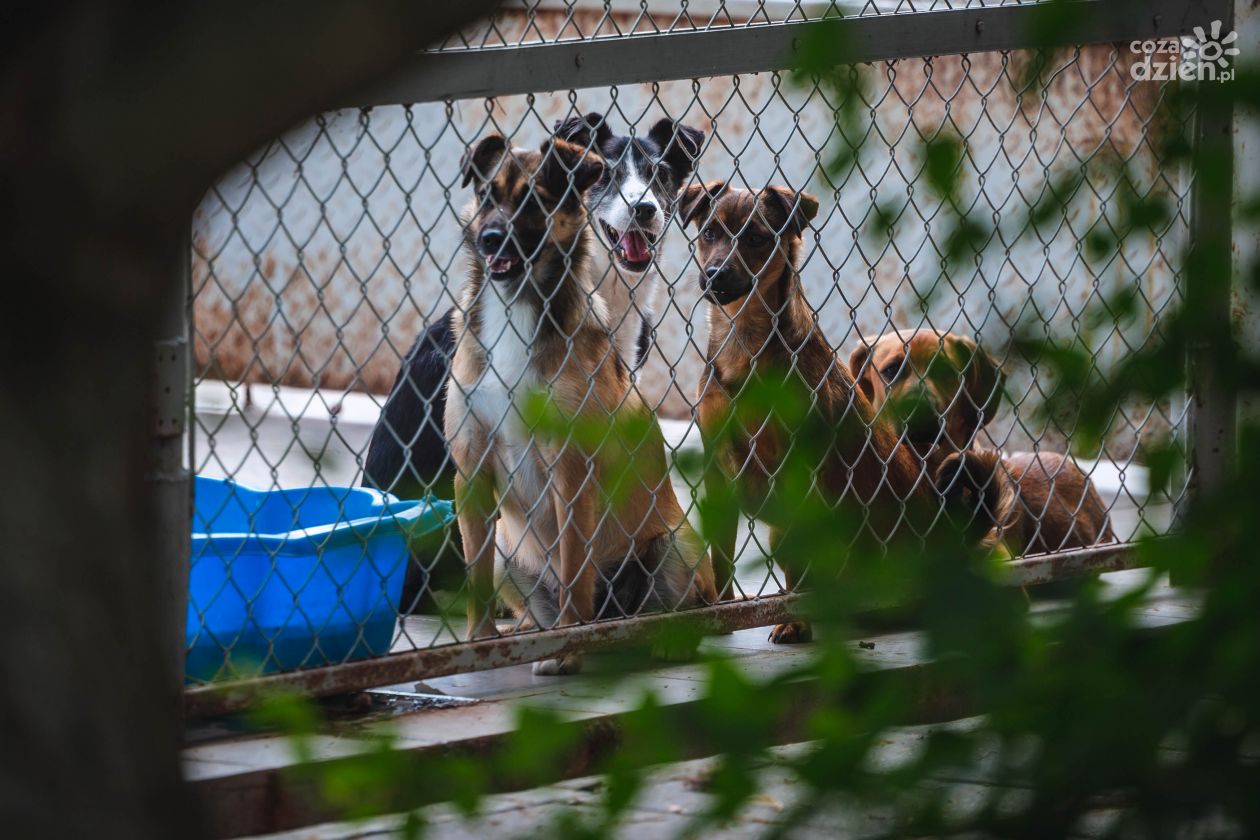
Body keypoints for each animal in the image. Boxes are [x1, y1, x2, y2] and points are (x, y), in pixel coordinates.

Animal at [448, 137, 715, 675]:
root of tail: (613, 615)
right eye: (486, 195)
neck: (515, 307)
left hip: (677, 546)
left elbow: (574, 569)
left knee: (681, 606)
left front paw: (568, 647)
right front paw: (479, 643)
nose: (490, 239)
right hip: (509, 552)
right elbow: (476, 577)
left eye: (534, 201)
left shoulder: (571, 472)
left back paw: (662, 639)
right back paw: (530, 631)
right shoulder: (470, 470)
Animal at [680, 182, 927, 644]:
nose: (716, 274)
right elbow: (721, 552)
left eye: (756, 238)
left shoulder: (800, 469)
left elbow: (799, 563)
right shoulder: (717, 468)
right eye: (708, 233)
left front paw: (795, 620)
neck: (744, 337)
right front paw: (721, 613)